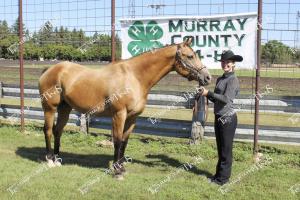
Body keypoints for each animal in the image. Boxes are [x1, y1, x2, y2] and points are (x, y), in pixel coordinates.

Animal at [38, 38, 212, 179]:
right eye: (190, 56)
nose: (207, 77)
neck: (134, 77)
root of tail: (49, 70)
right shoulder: (119, 115)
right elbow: (117, 140)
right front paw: (116, 171)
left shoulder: (132, 117)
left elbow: (124, 141)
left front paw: (121, 168)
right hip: (50, 108)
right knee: (48, 130)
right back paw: (49, 160)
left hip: (65, 108)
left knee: (58, 131)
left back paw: (58, 160)